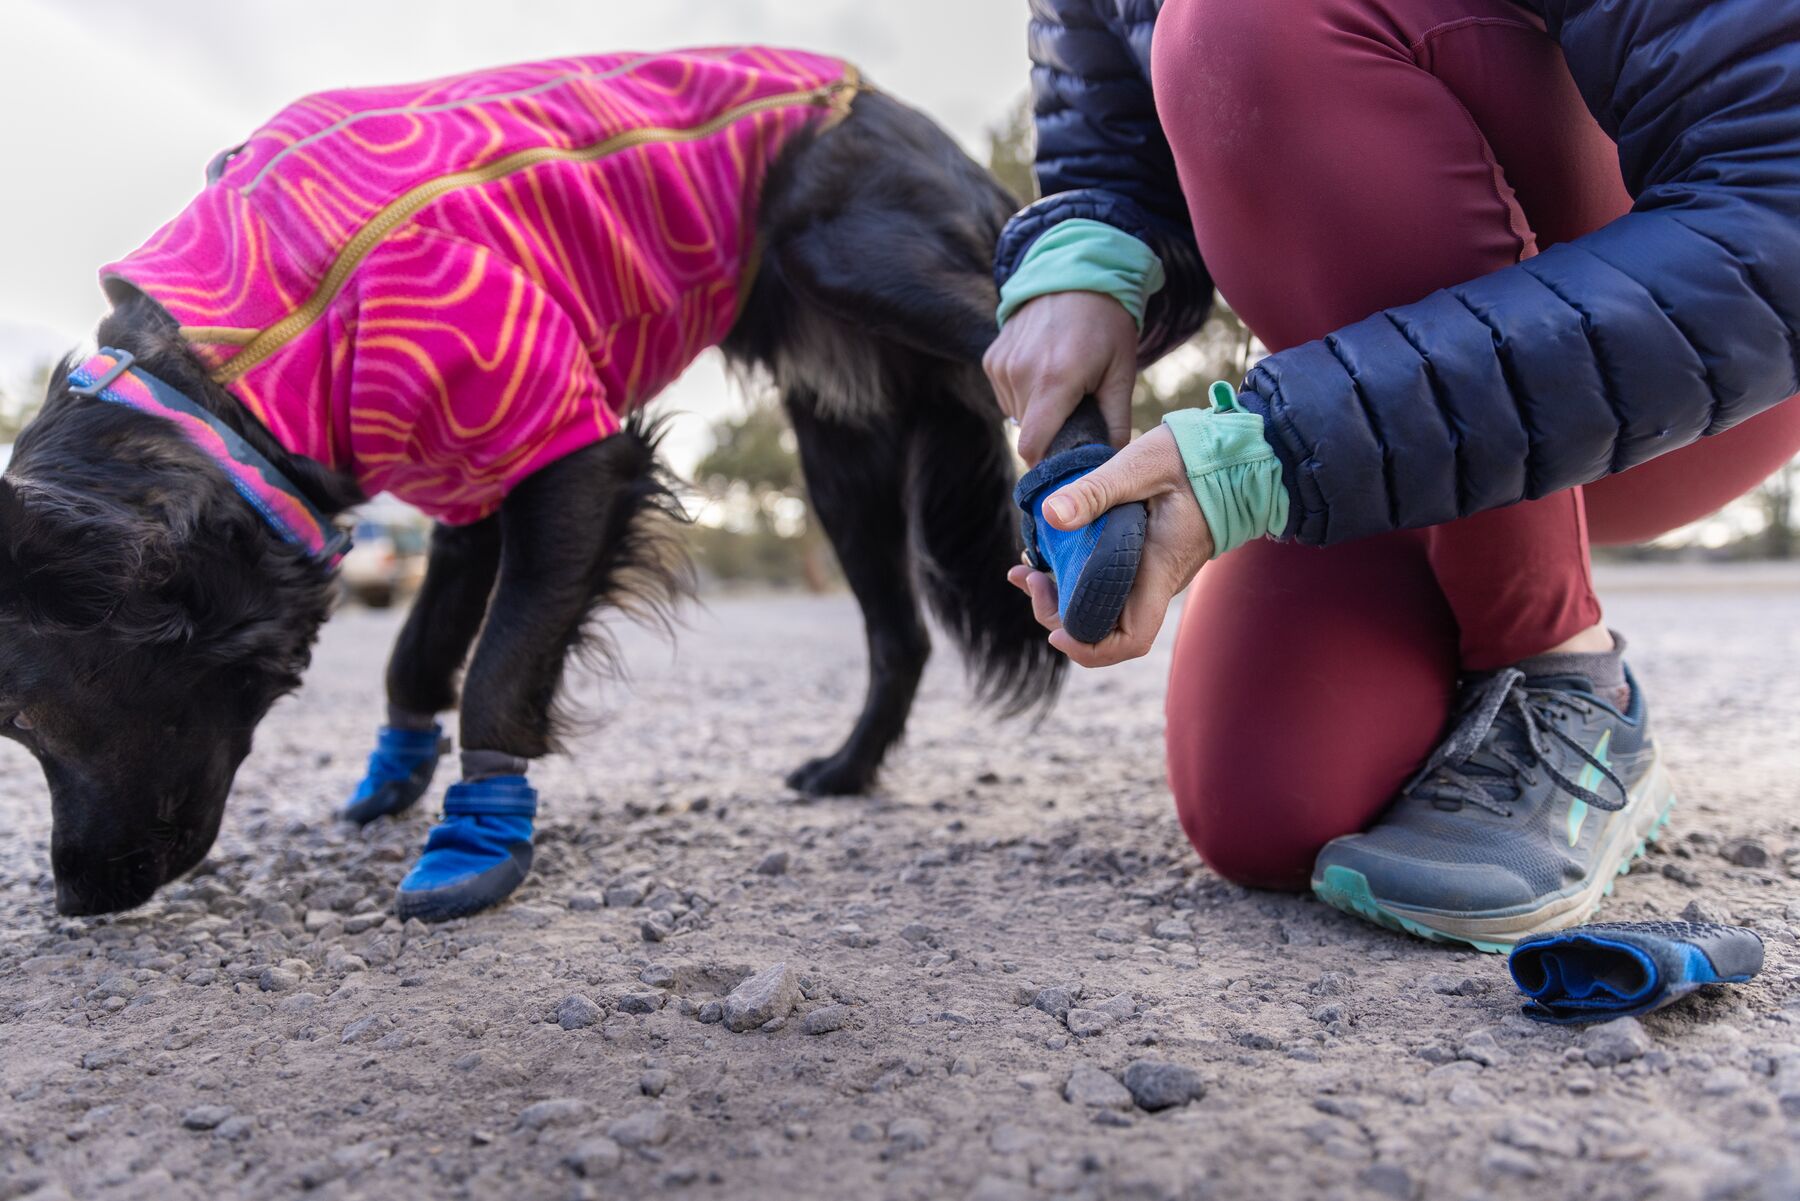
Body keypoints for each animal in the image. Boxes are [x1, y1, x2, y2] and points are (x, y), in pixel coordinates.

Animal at [0, 65, 1058, 914]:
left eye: (19, 719)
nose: (72, 900)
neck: (239, 361)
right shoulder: (467, 484)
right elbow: (417, 657)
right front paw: (394, 779)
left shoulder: (576, 452)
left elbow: (500, 672)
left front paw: (476, 840)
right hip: (840, 453)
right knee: (901, 633)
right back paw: (847, 770)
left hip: (855, 260)